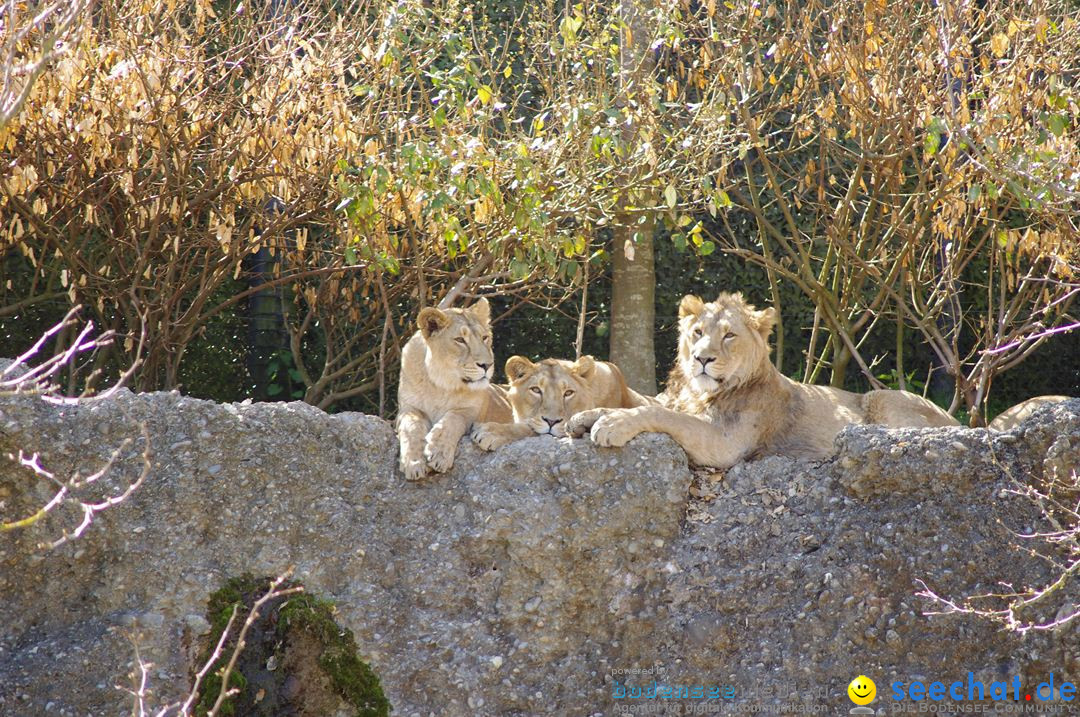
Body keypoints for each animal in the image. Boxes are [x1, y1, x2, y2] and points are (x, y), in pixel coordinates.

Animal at [397, 295, 514, 481]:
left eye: (484, 337)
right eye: (460, 340)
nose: (487, 365)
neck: (440, 384)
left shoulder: (471, 411)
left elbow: (453, 418)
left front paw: (438, 452)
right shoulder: (407, 408)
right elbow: (411, 427)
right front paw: (413, 462)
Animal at [565, 293, 954, 470]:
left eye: (729, 336)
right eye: (697, 332)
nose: (701, 358)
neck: (700, 394)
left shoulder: (725, 444)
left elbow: (662, 415)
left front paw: (612, 425)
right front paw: (584, 417)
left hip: (882, 398)